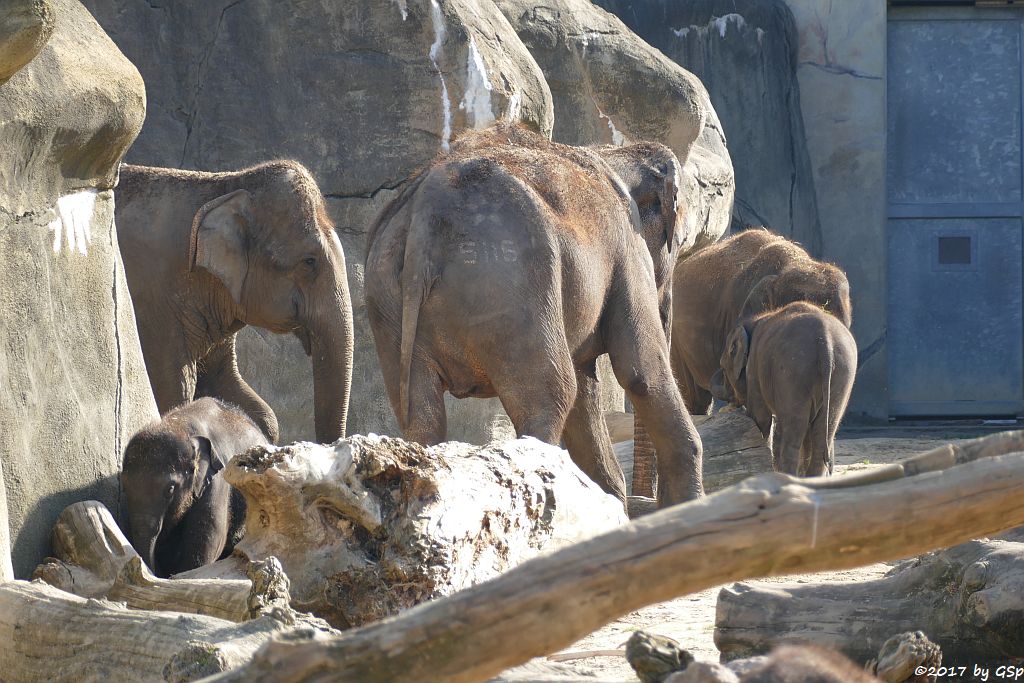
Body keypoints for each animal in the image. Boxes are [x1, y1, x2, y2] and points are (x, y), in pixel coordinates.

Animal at [362, 121, 704, 507]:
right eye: (679, 244)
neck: (613, 153)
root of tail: (428, 208)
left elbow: (588, 391)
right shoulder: (627, 249)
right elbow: (640, 372)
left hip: (388, 299)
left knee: (422, 415)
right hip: (511, 285)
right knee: (550, 397)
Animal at [712, 301, 856, 479]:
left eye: (723, 366)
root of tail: (825, 342)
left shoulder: (755, 369)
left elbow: (761, 418)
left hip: (793, 370)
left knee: (793, 434)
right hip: (842, 374)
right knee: (823, 434)